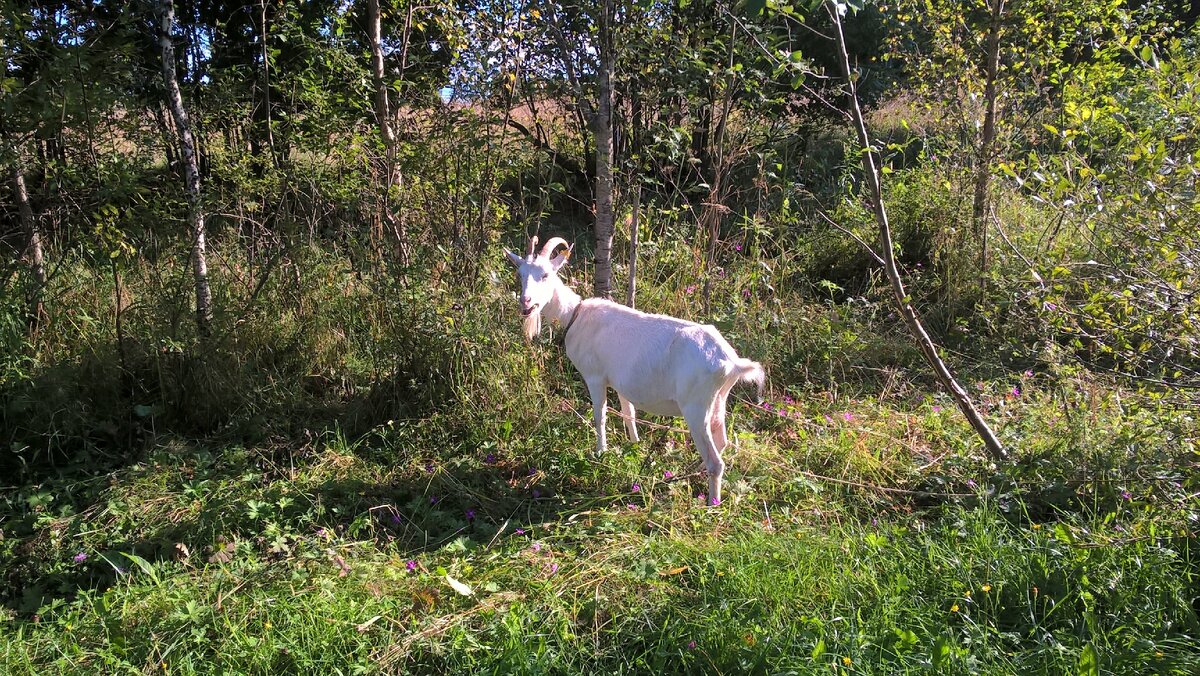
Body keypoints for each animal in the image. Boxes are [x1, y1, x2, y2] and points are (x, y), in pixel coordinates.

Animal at [501, 235, 763, 504]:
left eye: (545, 274)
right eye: (520, 274)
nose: (526, 303)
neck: (575, 314)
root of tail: (730, 361)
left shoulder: (595, 376)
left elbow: (600, 415)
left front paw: (601, 453)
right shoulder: (621, 383)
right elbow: (629, 413)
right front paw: (634, 446)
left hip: (695, 406)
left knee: (716, 461)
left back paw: (711, 503)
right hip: (719, 399)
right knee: (722, 441)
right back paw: (692, 471)